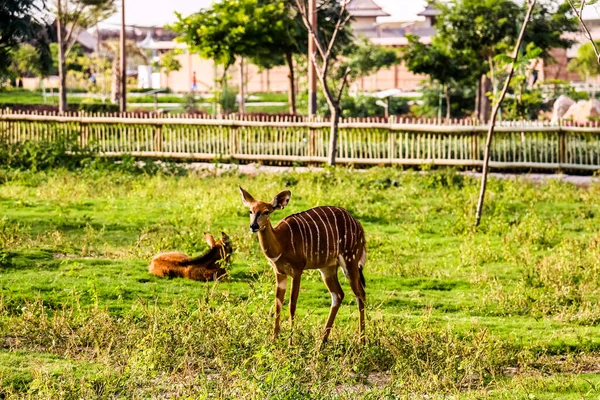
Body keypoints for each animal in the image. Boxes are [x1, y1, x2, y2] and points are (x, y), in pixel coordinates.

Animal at [239, 186, 366, 342]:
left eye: (266, 211)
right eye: (250, 211)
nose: (254, 226)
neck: (281, 242)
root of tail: (359, 225)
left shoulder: (297, 270)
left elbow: (292, 304)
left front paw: (290, 342)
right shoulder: (279, 272)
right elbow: (277, 304)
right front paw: (273, 340)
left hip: (350, 261)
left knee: (360, 294)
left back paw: (362, 341)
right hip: (327, 268)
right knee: (338, 295)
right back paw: (322, 341)